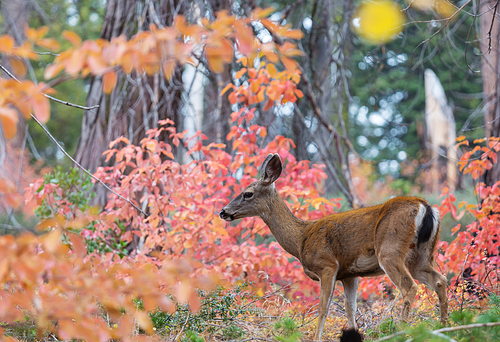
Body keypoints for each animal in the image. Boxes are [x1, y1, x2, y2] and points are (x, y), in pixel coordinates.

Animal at [220, 154, 450, 340]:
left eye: (247, 193)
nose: (223, 211)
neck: (301, 239)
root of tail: (425, 206)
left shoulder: (327, 265)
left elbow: (323, 308)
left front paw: (316, 338)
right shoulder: (349, 274)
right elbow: (350, 309)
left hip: (390, 250)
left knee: (409, 287)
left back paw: (402, 332)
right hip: (420, 255)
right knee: (440, 280)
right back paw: (445, 326)